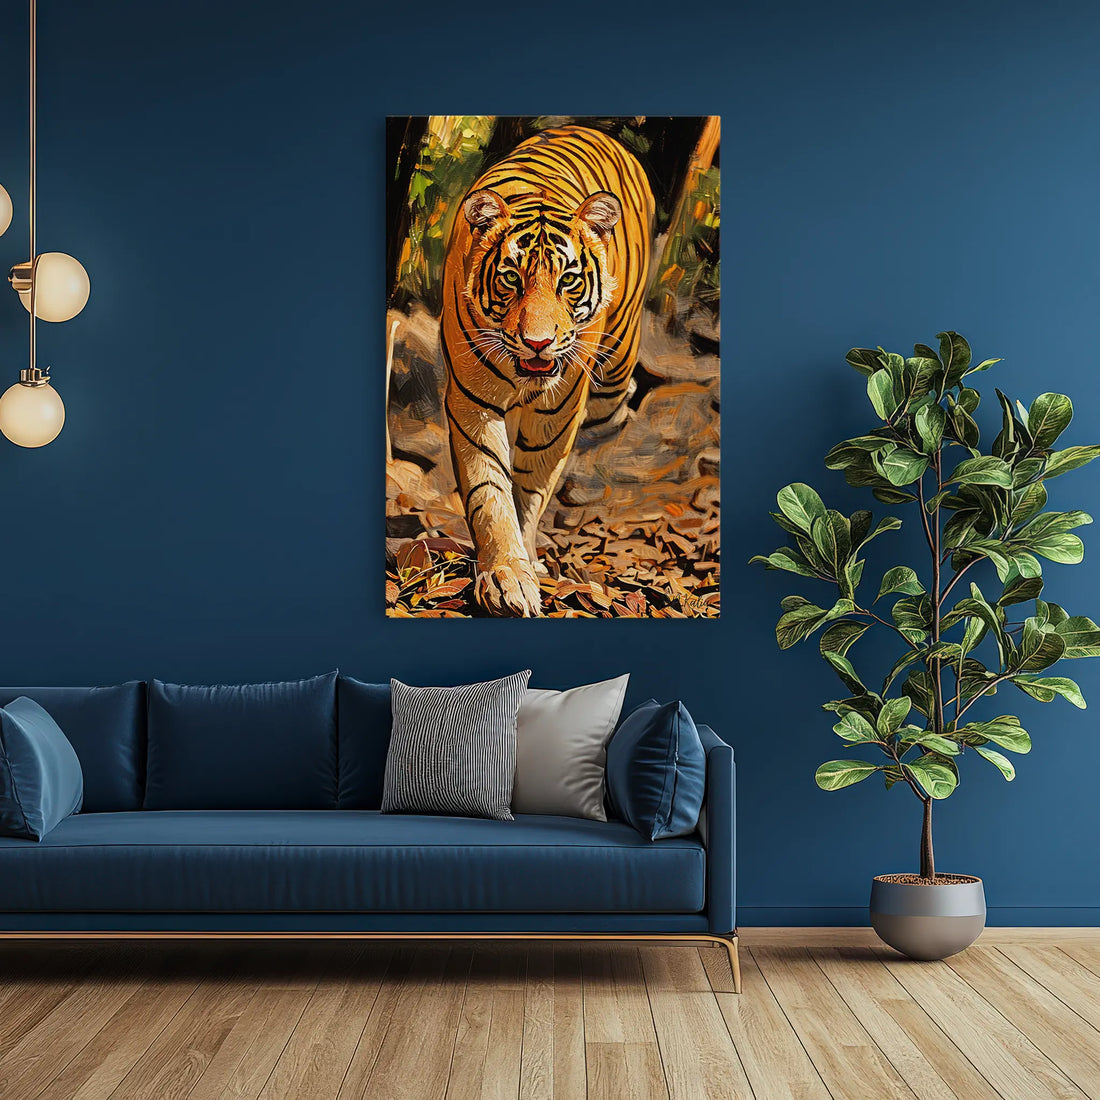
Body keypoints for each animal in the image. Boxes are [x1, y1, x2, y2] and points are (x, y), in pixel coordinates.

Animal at [440, 125, 655, 617]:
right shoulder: (472, 402)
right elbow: (489, 490)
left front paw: (526, 559)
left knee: (615, 407)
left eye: (568, 280)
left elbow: (530, 487)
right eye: (511, 279)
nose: (538, 342)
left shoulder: (558, 409)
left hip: (615, 368)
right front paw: (506, 575)